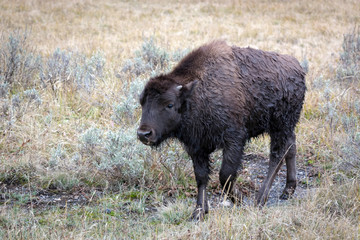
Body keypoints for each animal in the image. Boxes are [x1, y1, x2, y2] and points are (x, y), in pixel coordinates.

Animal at [136, 40, 306, 220]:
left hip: (280, 126)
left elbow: (225, 174)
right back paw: (288, 190)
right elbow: (201, 177)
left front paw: (239, 200)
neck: (197, 94)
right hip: (286, 127)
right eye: (142, 102)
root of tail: (298, 68)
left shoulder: (234, 140)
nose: (144, 134)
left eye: (169, 104)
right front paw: (199, 212)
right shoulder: (197, 148)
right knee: (291, 146)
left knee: (277, 156)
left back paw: (260, 199)